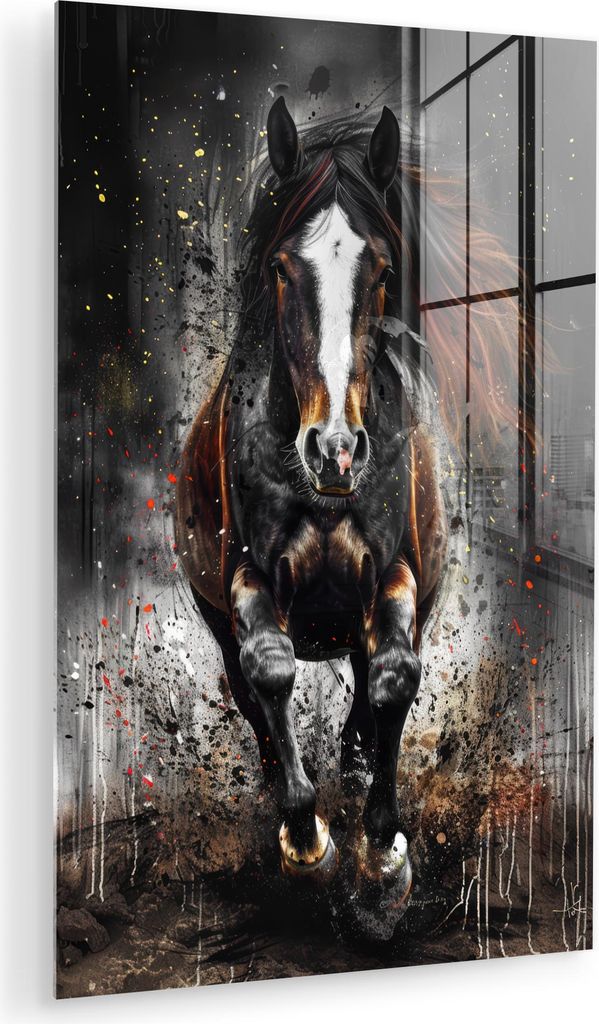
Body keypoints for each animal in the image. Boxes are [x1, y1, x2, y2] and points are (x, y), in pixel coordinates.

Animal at [176, 97, 448, 915]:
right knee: (253, 698)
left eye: (382, 268)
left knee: (369, 689)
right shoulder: (250, 577)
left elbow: (393, 675)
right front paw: (305, 836)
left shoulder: (393, 572)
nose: (335, 449)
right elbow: (270, 670)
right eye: (281, 268)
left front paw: (382, 846)